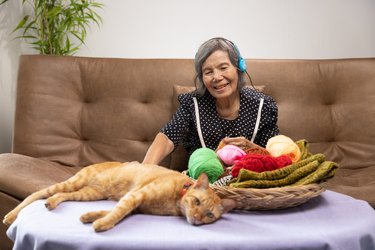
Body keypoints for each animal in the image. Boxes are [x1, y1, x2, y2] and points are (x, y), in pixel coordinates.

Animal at [2, 161, 236, 231]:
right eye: (196, 201)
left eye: (209, 215)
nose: (196, 219)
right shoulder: (136, 196)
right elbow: (117, 213)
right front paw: (102, 225)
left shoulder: (136, 204)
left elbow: (112, 210)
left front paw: (90, 217)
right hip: (75, 182)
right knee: (38, 192)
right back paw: (11, 216)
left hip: (88, 193)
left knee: (61, 195)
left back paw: (52, 203)